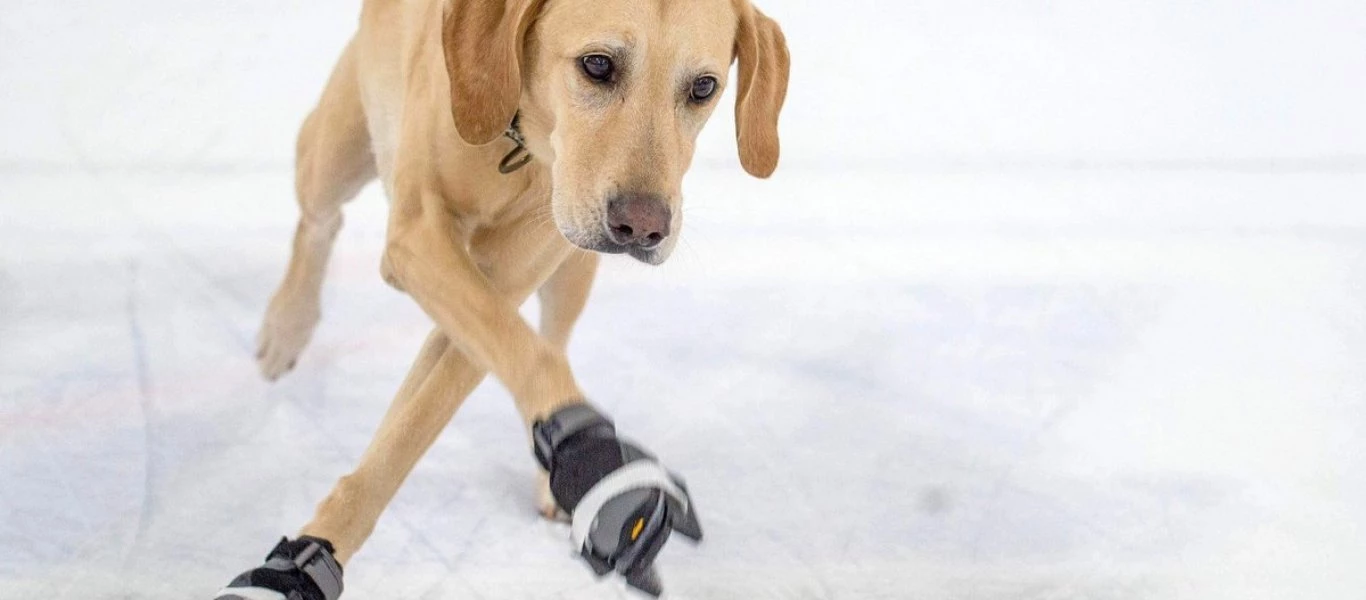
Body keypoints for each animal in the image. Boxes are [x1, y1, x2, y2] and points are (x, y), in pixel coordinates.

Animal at [225, 0, 792, 595]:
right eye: (597, 64)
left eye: (703, 87)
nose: (642, 227)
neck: (514, 143)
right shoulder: (419, 240)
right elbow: (434, 413)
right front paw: (302, 561)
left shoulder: (493, 288)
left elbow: (453, 394)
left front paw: (585, 457)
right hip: (335, 151)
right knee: (318, 221)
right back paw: (286, 327)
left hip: (573, 264)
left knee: (553, 337)